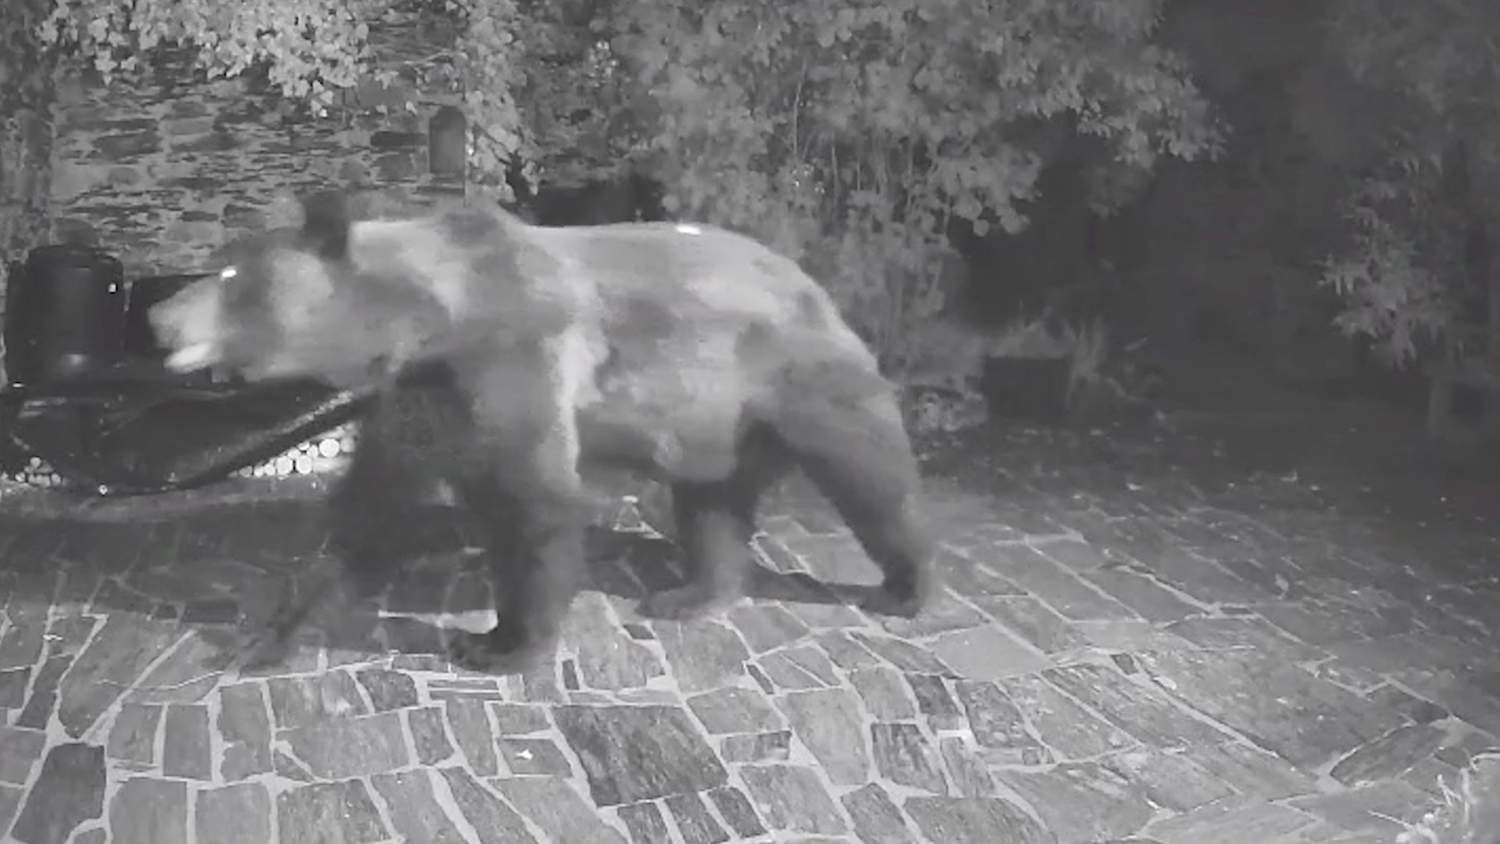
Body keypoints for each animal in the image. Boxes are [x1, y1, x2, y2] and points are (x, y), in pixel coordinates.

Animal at [149, 190, 937, 673]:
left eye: (230, 275)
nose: (158, 315)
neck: (433, 322)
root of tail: (817, 286)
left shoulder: (514, 358)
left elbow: (537, 504)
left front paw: (505, 644)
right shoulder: (422, 401)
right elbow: (368, 507)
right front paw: (265, 635)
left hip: (799, 383)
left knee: (871, 477)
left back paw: (907, 586)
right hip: (714, 420)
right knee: (711, 505)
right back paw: (692, 594)